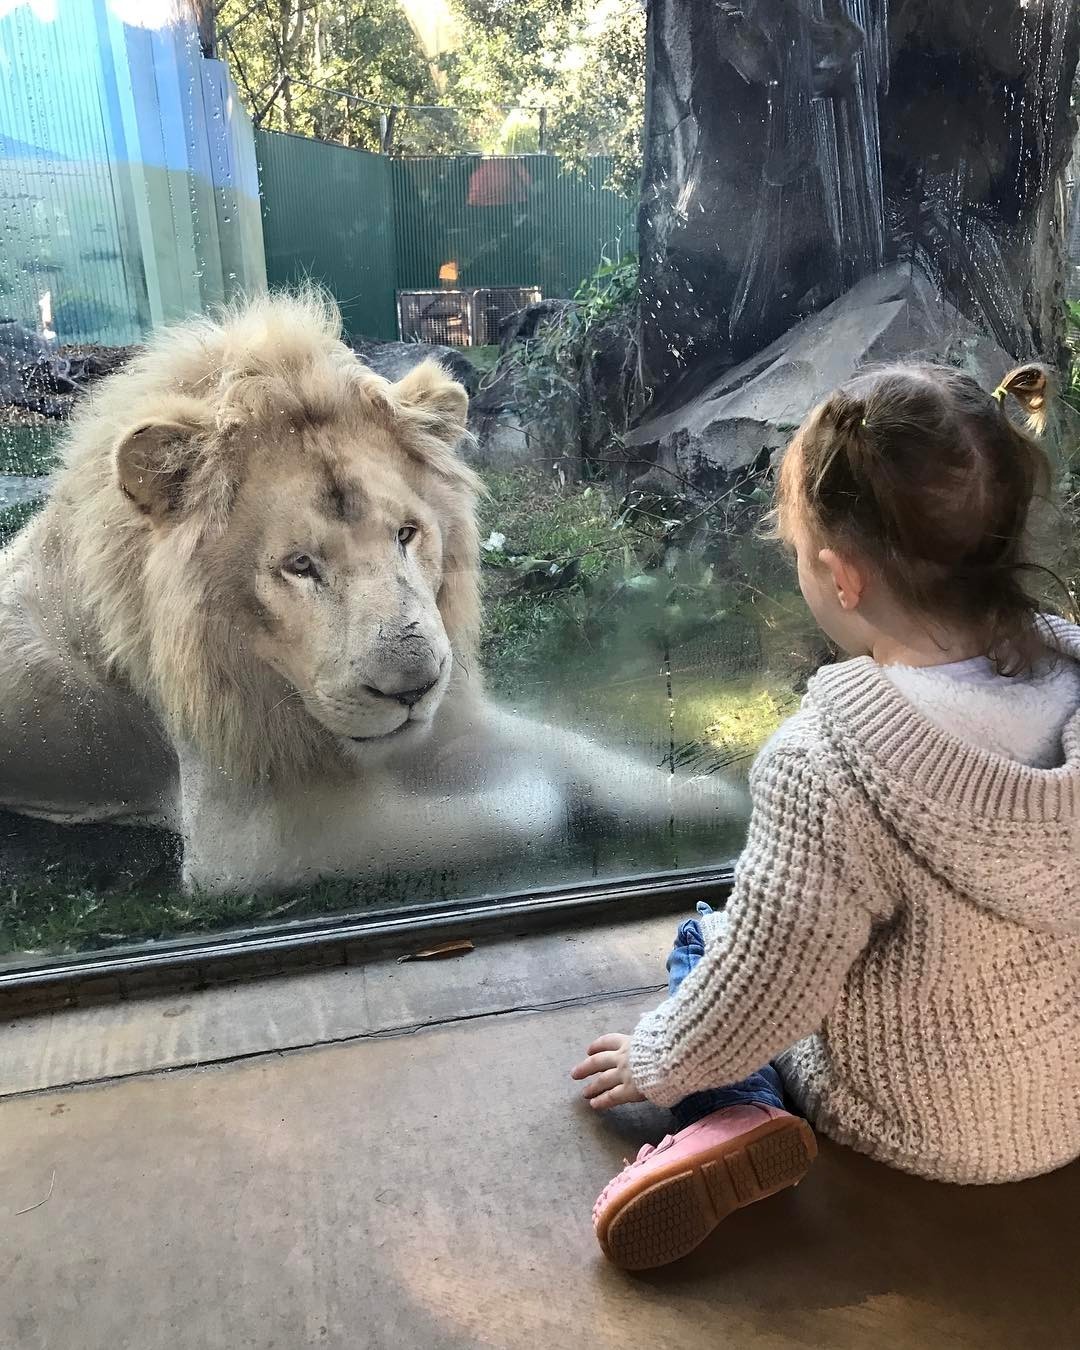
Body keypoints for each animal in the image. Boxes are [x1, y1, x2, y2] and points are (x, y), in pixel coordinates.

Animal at [0, 290, 745, 891]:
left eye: (406, 534)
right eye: (299, 566)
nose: (412, 689)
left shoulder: (454, 712)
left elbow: (579, 748)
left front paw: (713, 797)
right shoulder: (245, 843)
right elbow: (523, 810)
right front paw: (538, 793)